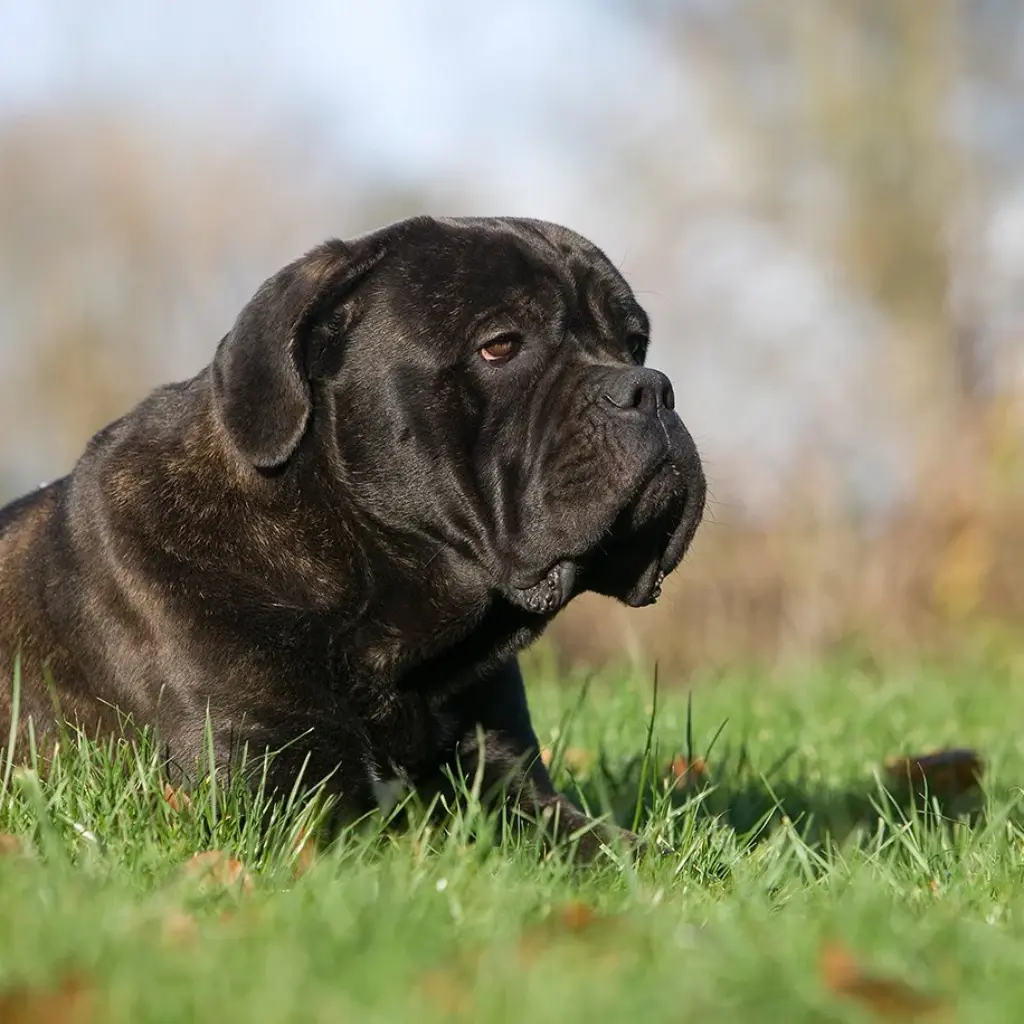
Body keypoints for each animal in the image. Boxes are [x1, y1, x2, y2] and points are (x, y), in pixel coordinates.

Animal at [0, 216, 704, 856]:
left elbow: (625, 852)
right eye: (500, 346)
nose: (650, 388)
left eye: (635, 344)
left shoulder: (514, 788)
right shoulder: (275, 796)